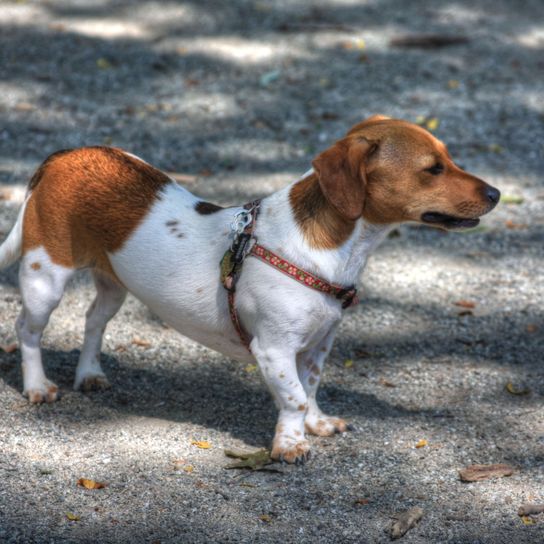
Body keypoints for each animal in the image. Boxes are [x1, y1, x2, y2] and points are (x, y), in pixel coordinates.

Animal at [0, 116, 500, 464]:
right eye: (432, 169)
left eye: (449, 158)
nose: (497, 193)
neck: (333, 247)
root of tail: (64, 156)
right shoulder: (273, 349)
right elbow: (293, 396)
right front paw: (289, 446)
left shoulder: (317, 345)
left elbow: (310, 388)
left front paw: (315, 425)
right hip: (46, 277)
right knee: (27, 330)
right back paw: (38, 385)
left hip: (114, 284)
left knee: (93, 321)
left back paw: (89, 374)